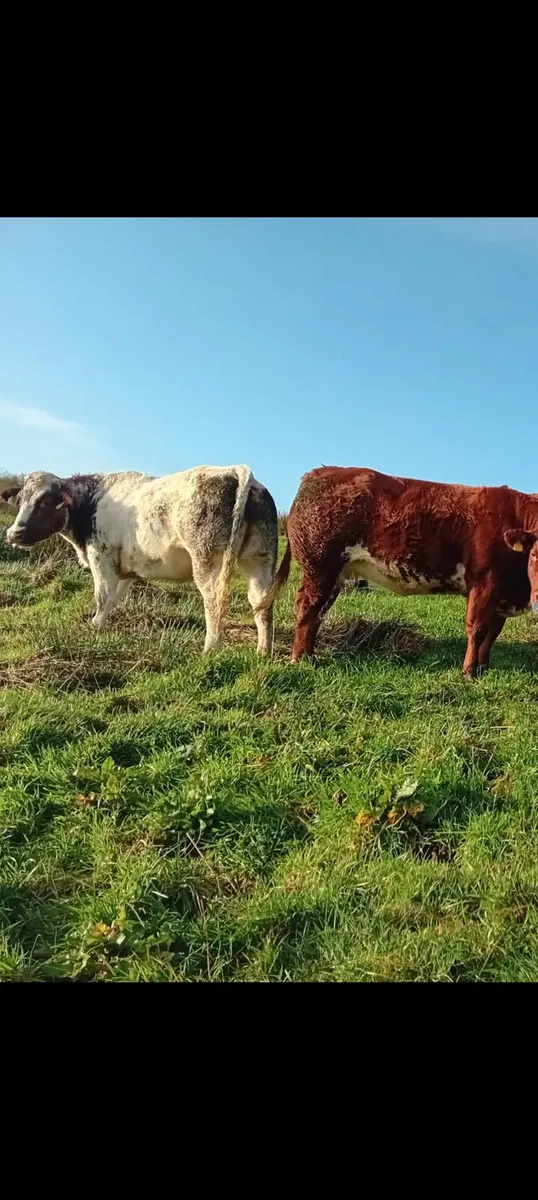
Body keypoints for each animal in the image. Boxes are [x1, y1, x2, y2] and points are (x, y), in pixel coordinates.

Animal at [1, 466, 278, 653]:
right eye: (20, 500)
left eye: (46, 501)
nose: (14, 533)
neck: (91, 502)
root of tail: (233, 470)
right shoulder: (127, 569)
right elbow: (113, 599)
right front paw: (99, 626)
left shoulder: (101, 557)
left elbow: (102, 596)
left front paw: (93, 627)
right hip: (260, 560)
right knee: (261, 604)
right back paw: (262, 652)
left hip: (208, 560)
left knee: (215, 603)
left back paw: (210, 649)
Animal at [255, 466, 538, 678]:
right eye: (535, 553)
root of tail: (319, 473)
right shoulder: (483, 581)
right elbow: (477, 628)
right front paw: (469, 672)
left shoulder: (501, 592)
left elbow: (492, 633)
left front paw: (483, 668)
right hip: (319, 567)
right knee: (307, 607)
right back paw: (300, 659)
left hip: (334, 574)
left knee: (318, 613)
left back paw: (311, 656)